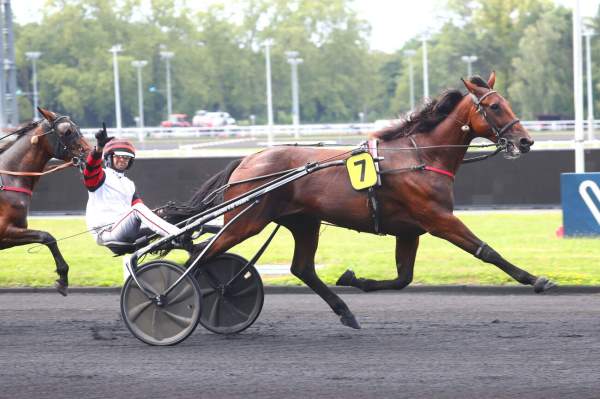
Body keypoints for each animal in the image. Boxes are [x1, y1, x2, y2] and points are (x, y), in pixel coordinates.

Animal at [0, 109, 90, 296]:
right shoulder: (4, 231)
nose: (91, 152)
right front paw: (63, 278)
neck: (8, 178)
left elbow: (45, 237)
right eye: (67, 131)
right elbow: (47, 237)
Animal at [163, 73, 552, 330]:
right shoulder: (438, 218)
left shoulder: (409, 230)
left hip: (303, 222)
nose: (526, 141)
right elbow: (487, 251)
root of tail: (246, 161)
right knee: (197, 258)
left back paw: (343, 311)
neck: (421, 155)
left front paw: (354, 278)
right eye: (495, 107)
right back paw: (171, 298)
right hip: (246, 220)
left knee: (300, 268)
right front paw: (535, 280)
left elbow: (403, 278)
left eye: (506, 103)